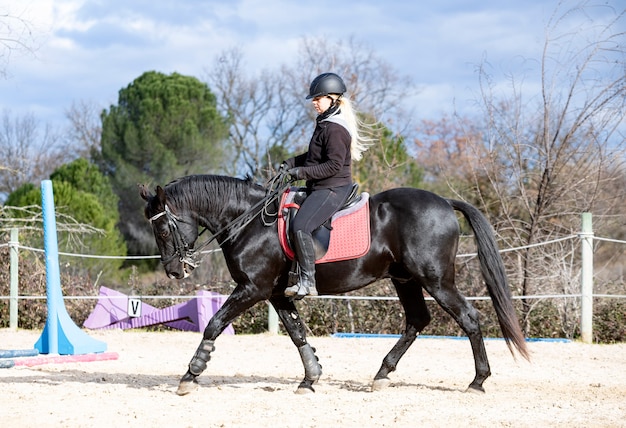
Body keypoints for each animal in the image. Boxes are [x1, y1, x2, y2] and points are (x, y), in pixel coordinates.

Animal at [139, 173, 524, 394]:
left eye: (163, 229)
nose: (174, 271)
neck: (251, 221)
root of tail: (444, 202)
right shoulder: (276, 293)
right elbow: (297, 333)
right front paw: (311, 377)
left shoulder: (253, 289)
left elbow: (214, 324)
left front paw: (191, 374)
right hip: (406, 279)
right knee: (417, 320)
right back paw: (382, 374)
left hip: (436, 278)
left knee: (469, 318)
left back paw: (478, 381)